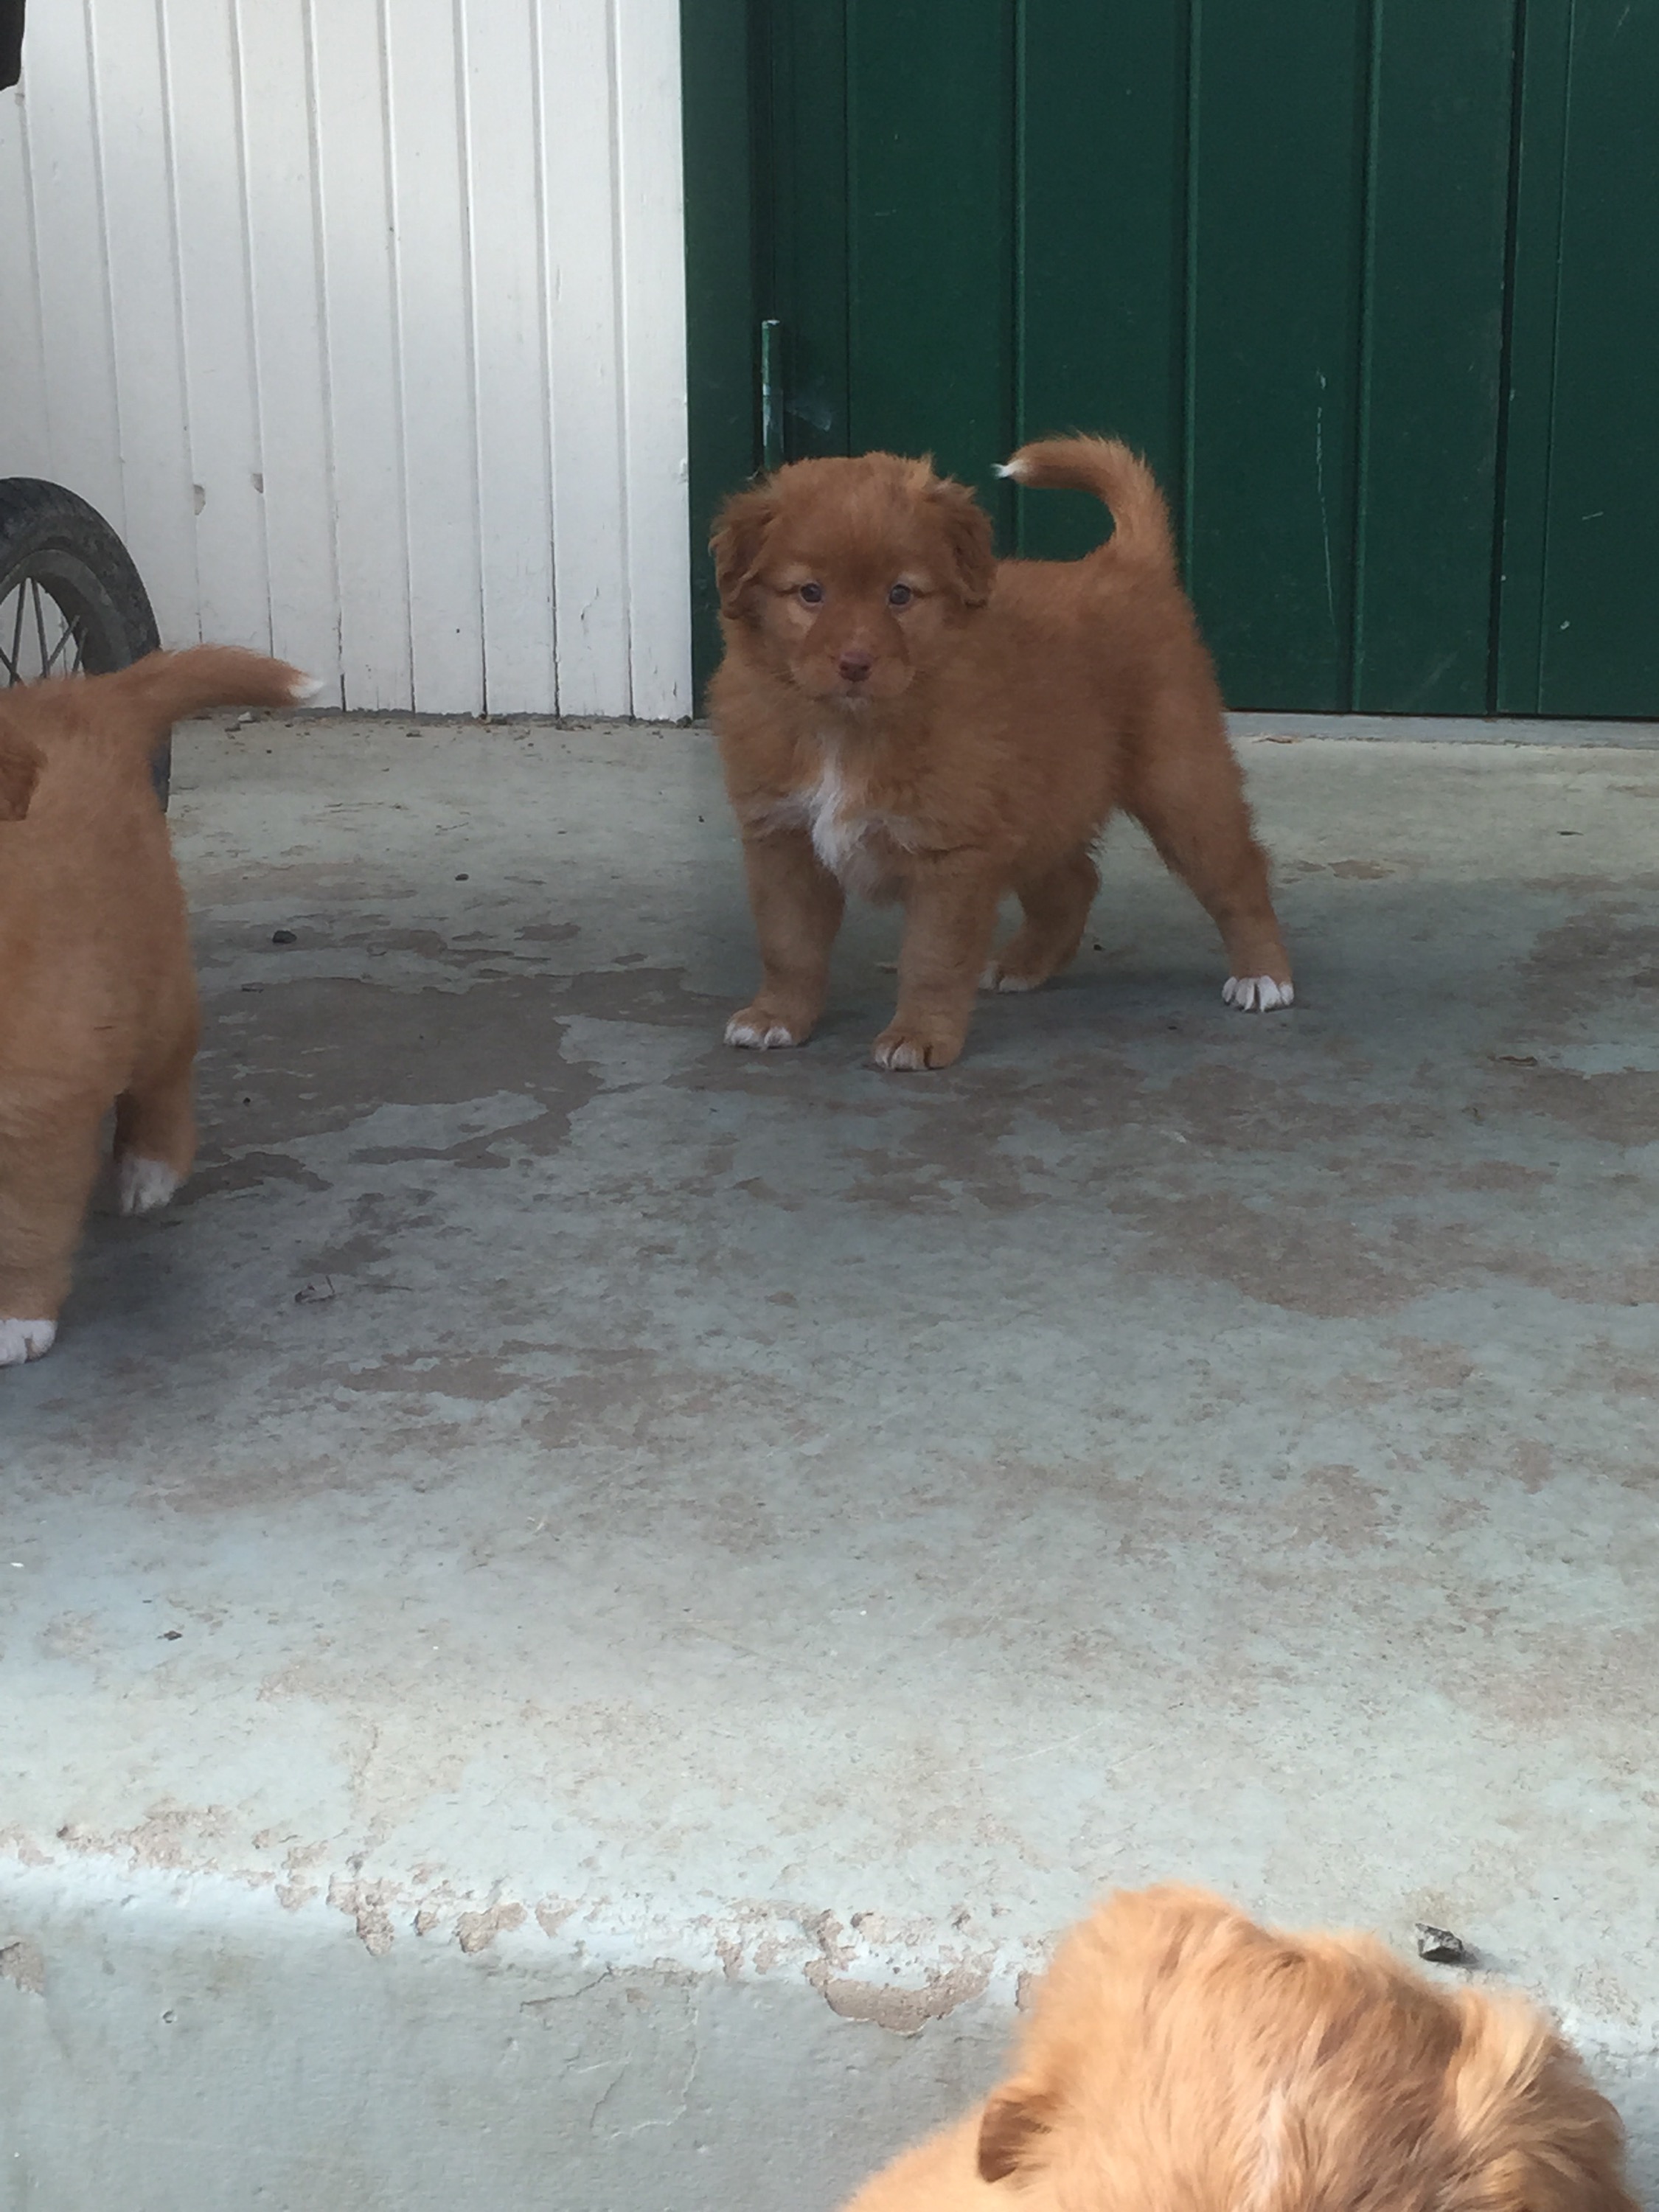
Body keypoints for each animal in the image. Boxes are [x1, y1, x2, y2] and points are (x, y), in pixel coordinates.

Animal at [0, 646, 313, 1365]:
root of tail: (78, 699)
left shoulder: (39, 1090)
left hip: (150, 986)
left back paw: (149, 1169)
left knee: (164, 1076)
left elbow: (23, 1219)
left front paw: (16, 1318)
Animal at [708, 439, 1293, 1071]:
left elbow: (932, 960)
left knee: (1237, 877)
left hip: (1181, 784)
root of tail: (1123, 562)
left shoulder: (952, 853)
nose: (856, 664)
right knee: (1075, 882)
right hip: (1037, 802)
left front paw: (919, 1036)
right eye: (810, 594)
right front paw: (777, 1018)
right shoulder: (783, 840)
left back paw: (1264, 976)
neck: (847, 729)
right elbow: (788, 946)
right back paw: (1023, 966)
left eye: (900, 594)